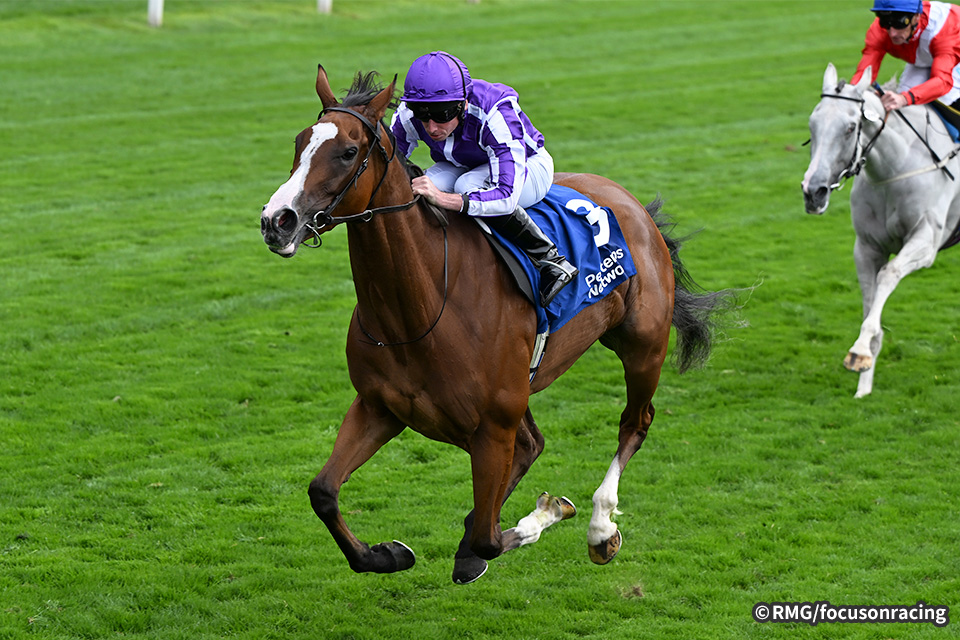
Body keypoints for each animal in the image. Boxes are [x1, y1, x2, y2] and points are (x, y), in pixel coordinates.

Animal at [260, 66, 730, 584]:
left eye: (347, 152)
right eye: (299, 141)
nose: (277, 221)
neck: (420, 310)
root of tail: (630, 201)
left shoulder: (493, 426)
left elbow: (488, 538)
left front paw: (545, 514)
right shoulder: (378, 407)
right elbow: (323, 492)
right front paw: (387, 554)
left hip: (642, 344)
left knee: (634, 424)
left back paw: (600, 526)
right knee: (533, 444)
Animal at [802, 63, 960, 398]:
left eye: (850, 128)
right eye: (812, 124)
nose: (813, 192)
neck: (896, 170)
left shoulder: (926, 241)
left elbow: (888, 274)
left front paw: (859, 351)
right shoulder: (866, 247)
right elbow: (870, 296)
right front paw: (864, 383)